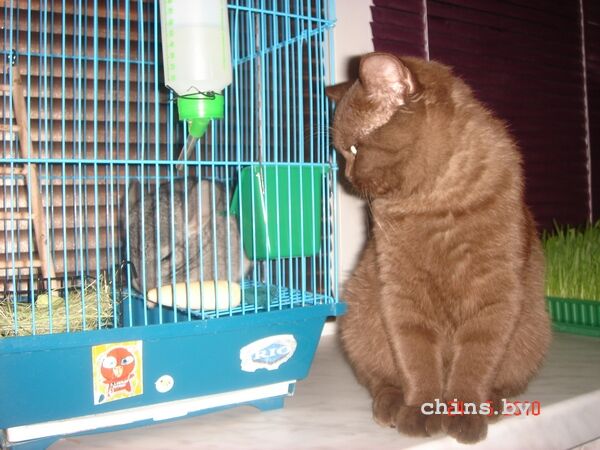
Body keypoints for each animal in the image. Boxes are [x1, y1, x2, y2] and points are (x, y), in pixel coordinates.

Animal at [326, 53, 551, 444]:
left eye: (353, 149)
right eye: (342, 153)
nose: (346, 176)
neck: (434, 202)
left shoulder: (495, 296)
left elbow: (475, 362)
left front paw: (463, 414)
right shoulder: (401, 296)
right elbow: (416, 361)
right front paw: (419, 412)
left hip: (532, 331)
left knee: (505, 381)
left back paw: (492, 403)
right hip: (359, 318)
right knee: (380, 380)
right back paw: (390, 405)